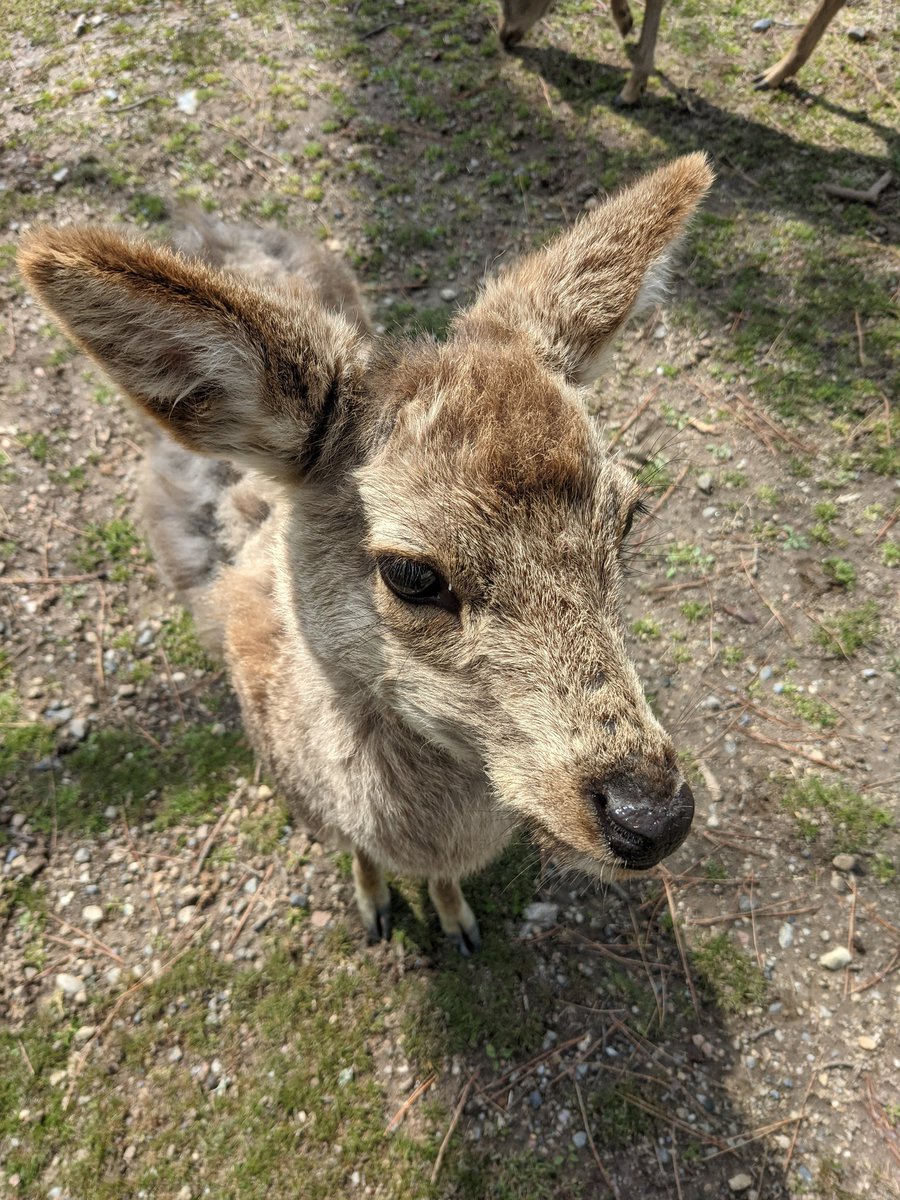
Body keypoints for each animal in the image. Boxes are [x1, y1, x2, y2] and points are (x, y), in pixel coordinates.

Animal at [18, 153, 712, 954]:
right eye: (411, 572)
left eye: (628, 516)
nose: (652, 817)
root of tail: (209, 226)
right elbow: (360, 858)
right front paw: (375, 909)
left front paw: (456, 920)